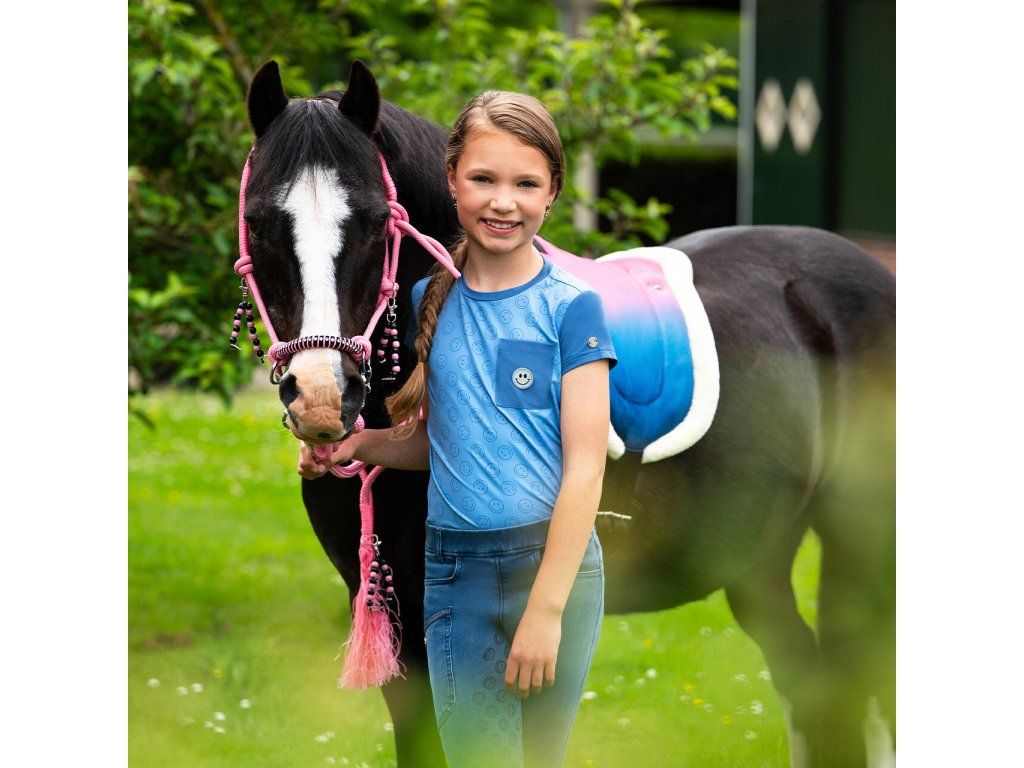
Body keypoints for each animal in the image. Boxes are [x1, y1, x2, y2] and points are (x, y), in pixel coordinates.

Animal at [237, 59, 896, 768]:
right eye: (260, 223)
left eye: (374, 221)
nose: (321, 397)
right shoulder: (407, 634)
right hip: (760, 554)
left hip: (859, 544)